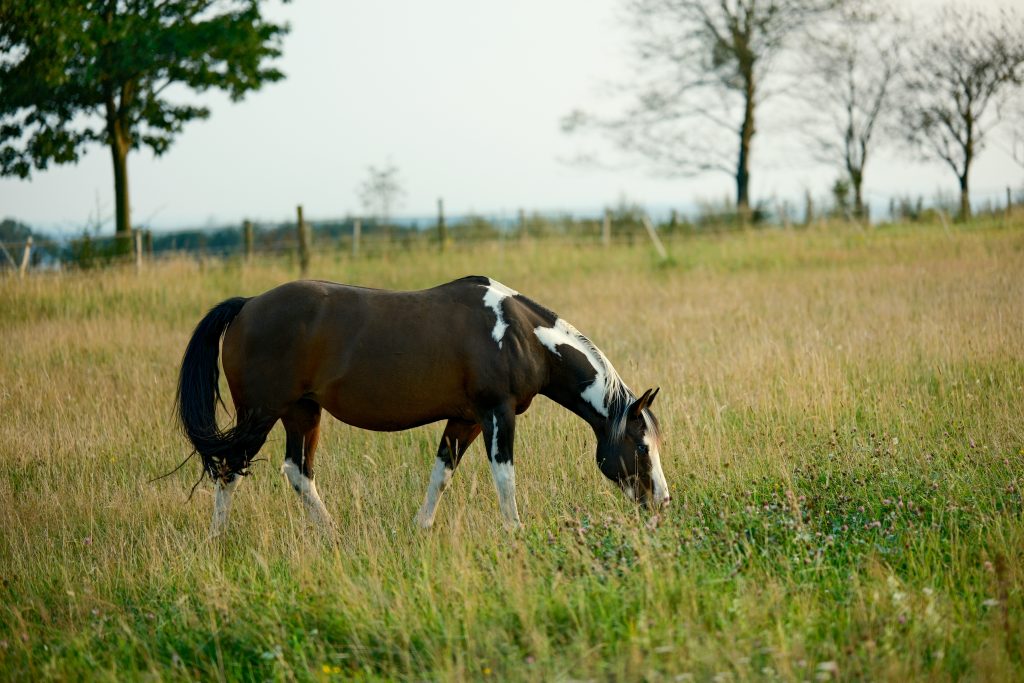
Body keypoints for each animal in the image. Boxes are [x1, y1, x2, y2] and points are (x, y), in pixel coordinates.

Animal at [174, 274, 671, 532]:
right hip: (258, 415)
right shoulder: (497, 414)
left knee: (297, 472)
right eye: (641, 447)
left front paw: (421, 528)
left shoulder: (466, 420)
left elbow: (442, 474)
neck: (518, 335)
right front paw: (515, 533)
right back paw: (219, 539)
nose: (662, 501)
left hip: (302, 413)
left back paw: (332, 534)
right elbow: (505, 478)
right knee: (229, 469)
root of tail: (248, 305)